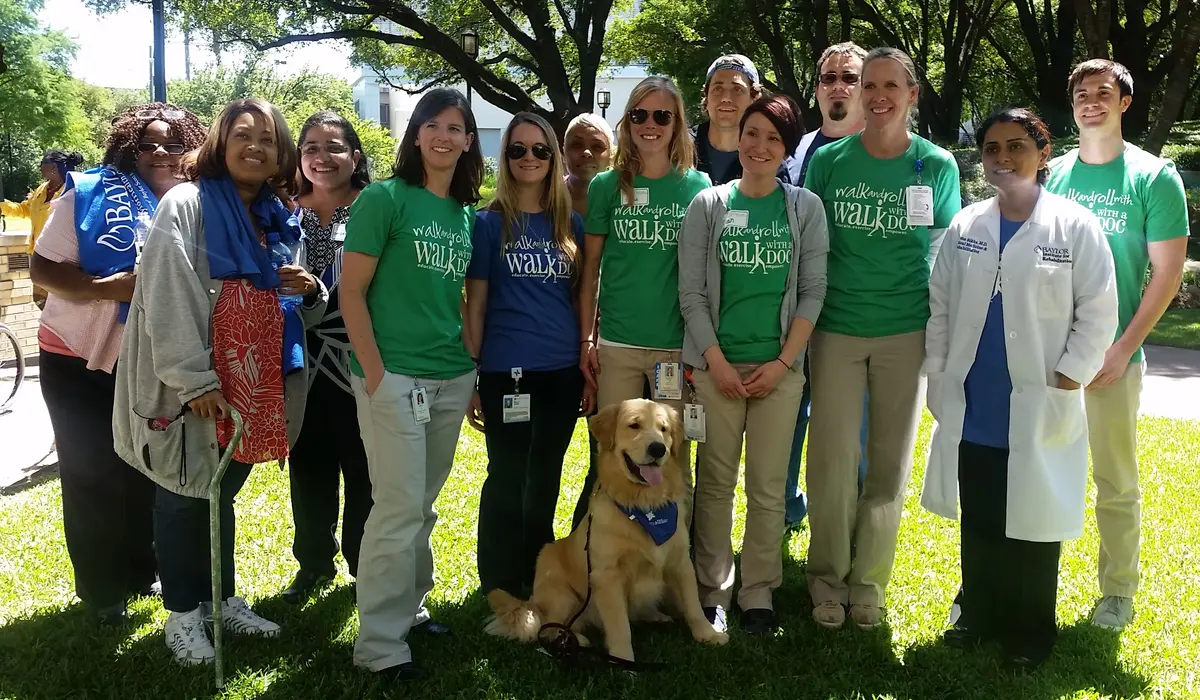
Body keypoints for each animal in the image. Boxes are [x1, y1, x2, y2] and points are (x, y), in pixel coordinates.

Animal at [482, 401, 724, 662]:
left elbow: (693, 605)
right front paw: (623, 658)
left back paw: (655, 616)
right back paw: (575, 640)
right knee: (549, 626)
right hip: (558, 587)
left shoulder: (680, 561)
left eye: (664, 429)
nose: (658, 449)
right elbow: (619, 624)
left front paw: (708, 634)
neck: (643, 504)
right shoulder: (608, 575)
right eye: (634, 425)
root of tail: (532, 602)